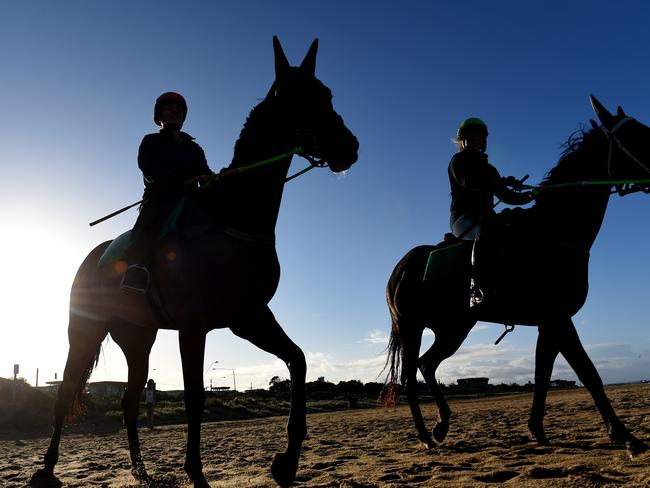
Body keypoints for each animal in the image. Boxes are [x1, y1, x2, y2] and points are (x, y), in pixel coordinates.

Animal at [34, 36, 360, 486]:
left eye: (326, 94)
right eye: (299, 98)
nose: (349, 147)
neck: (230, 218)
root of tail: (90, 259)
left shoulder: (249, 317)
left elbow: (298, 360)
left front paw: (287, 461)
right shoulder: (194, 326)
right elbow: (194, 399)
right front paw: (196, 472)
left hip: (138, 338)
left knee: (129, 401)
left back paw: (142, 471)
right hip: (84, 332)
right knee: (65, 392)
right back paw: (47, 470)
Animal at [382, 96, 644, 458]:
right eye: (637, 135)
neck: (554, 232)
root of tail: (401, 268)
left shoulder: (550, 322)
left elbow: (543, 372)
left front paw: (538, 430)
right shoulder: (558, 318)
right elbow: (588, 373)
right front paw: (625, 436)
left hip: (453, 328)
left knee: (427, 365)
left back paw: (442, 424)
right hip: (413, 328)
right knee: (410, 375)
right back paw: (425, 434)